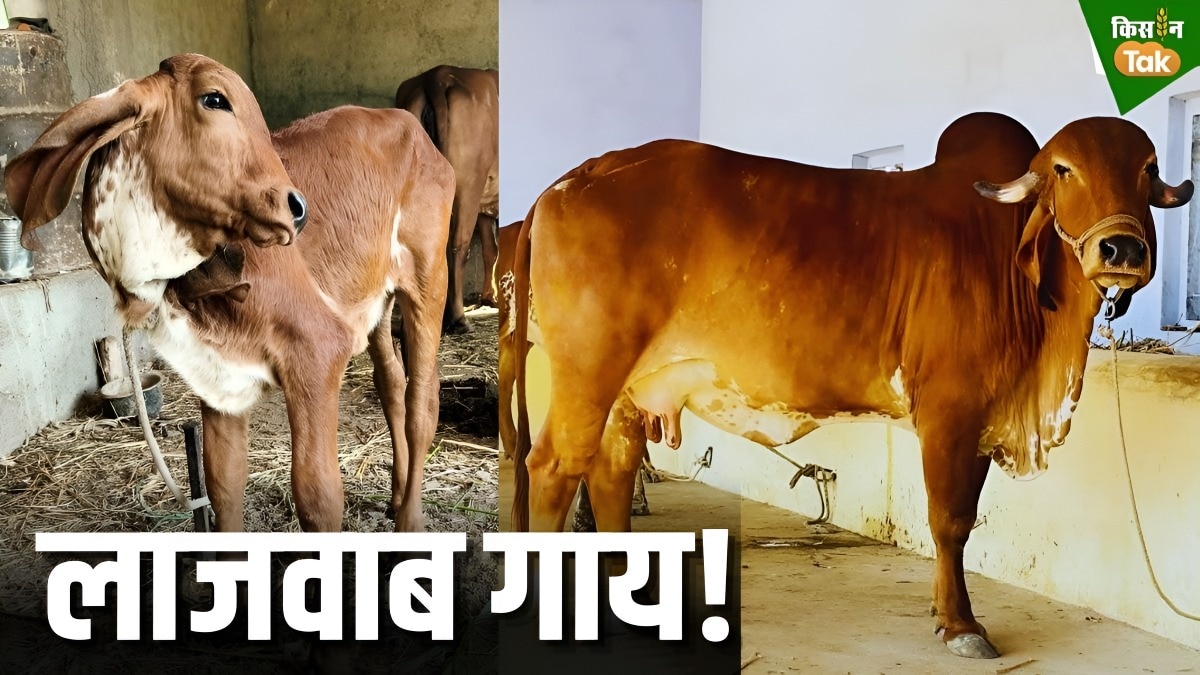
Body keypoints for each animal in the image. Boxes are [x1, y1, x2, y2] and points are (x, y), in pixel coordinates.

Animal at [4, 54, 454, 533]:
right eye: (215, 99)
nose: (298, 208)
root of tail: (406, 121)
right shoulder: (215, 376)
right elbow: (223, 483)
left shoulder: (317, 351)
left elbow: (318, 496)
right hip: (376, 301)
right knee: (391, 384)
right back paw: (396, 497)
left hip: (429, 276)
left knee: (423, 400)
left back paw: (411, 519)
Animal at [396, 65, 499, 334]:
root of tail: (437, 76)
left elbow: (490, 250)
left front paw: (489, 297)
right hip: (468, 184)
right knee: (458, 247)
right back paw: (459, 318)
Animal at [508, 112, 1192, 658]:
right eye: (1064, 169)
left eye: (1148, 167)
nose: (1122, 249)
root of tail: (569, 181)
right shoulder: (952, 409)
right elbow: (950, 520)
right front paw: (960, 624)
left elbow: (962, 519)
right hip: (587, 372)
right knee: (553, 467)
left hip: (627, 389)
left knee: (612, 471)